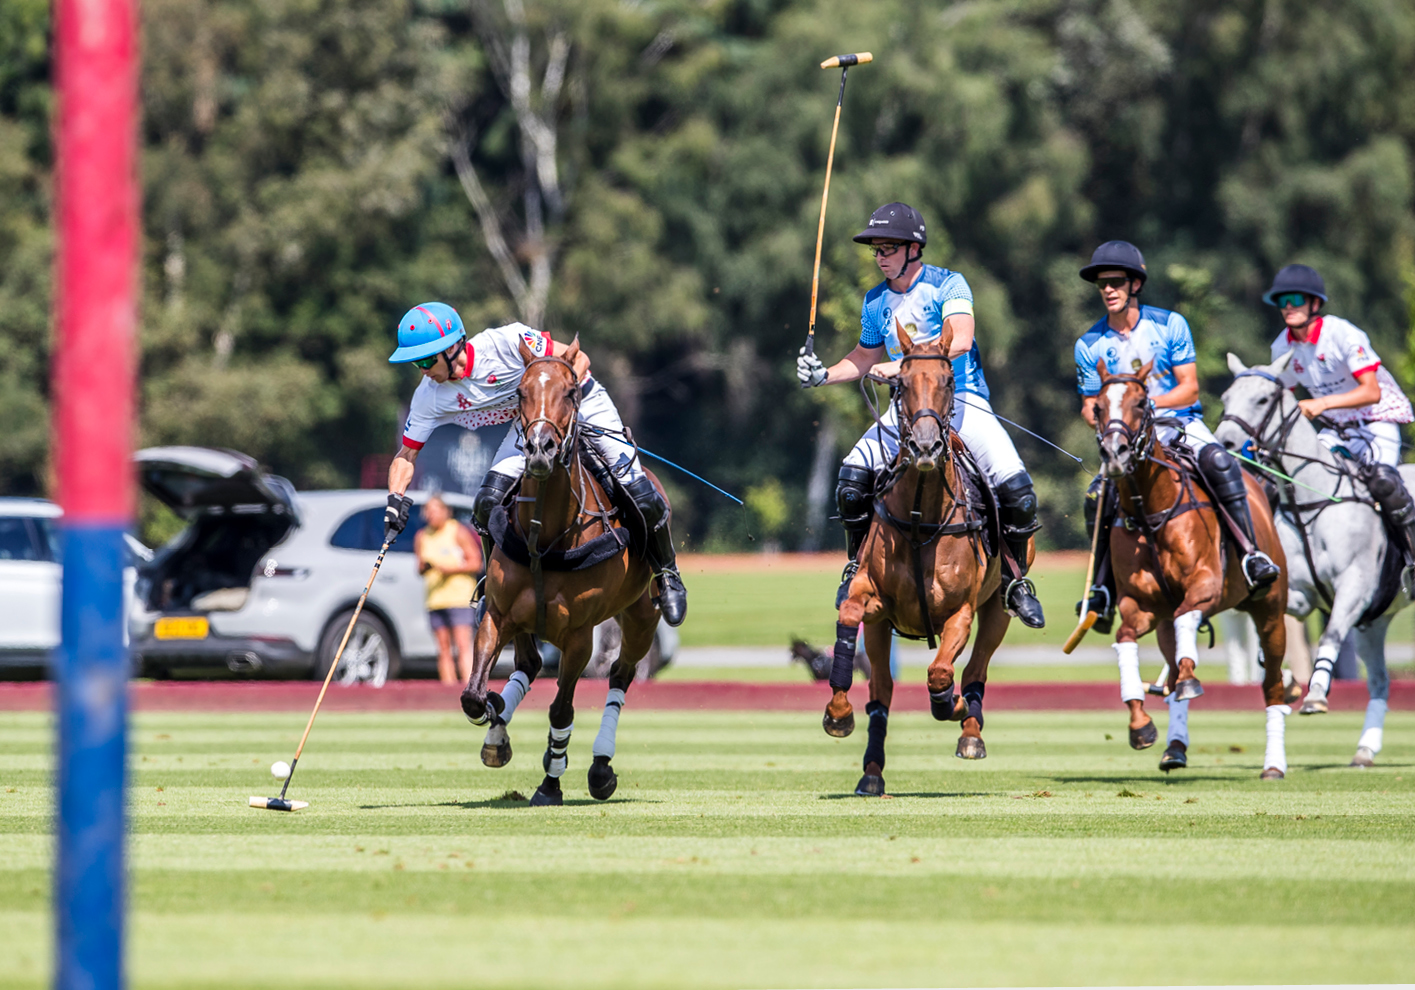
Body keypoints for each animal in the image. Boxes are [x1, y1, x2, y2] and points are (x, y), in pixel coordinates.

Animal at [457, 336, 664, 806]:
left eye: (571, 392)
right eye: (519, 393)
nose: (539, 449)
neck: (547, 533)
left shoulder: (578, 637)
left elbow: (561, 709)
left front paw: (550, 782)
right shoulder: (498, 614)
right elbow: (474, 696)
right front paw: (496, 727)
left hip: (641, 614)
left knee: (621, 674)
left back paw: (601, 768)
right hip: (524, 621)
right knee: (530, 664)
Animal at [824, 322, 1022, 797]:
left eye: (949, 381)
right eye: (901, 383)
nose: (927, 447)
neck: (920, 515)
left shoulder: (961, 612)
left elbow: (941, 675)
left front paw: (953, 706)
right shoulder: (877, 602)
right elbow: (849, 612)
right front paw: (837, 713)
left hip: (997, 609)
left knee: (975, 668)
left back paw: (970, 729)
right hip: (882, 630)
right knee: (881, 688)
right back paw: (871, 772)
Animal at [1091, 362, 1291, 778]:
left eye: (1141, 402)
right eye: (1097, 406)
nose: (1115, 454)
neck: (1151, 514)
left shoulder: (1206, 586)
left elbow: (1188, 625)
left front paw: (1187, 680)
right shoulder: (1141, 605)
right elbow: (1126, 639)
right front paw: (1140, 724)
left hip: (1271, 613)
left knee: (1273, 685)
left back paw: (1274, 764)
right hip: (1166, 623)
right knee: (1171, 667)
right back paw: (1175, 750)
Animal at [1216, 351, 1414, 766]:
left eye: (1262, 399)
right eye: (1226, 397)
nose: (1224, 442)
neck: (1311, 501)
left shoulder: (1354, 588)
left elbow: (1329, 636)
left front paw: (1316, 695)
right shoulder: (1302, 594)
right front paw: (1291, 681)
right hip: (1376, 621)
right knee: (1380, 681)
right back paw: (1364, 750)